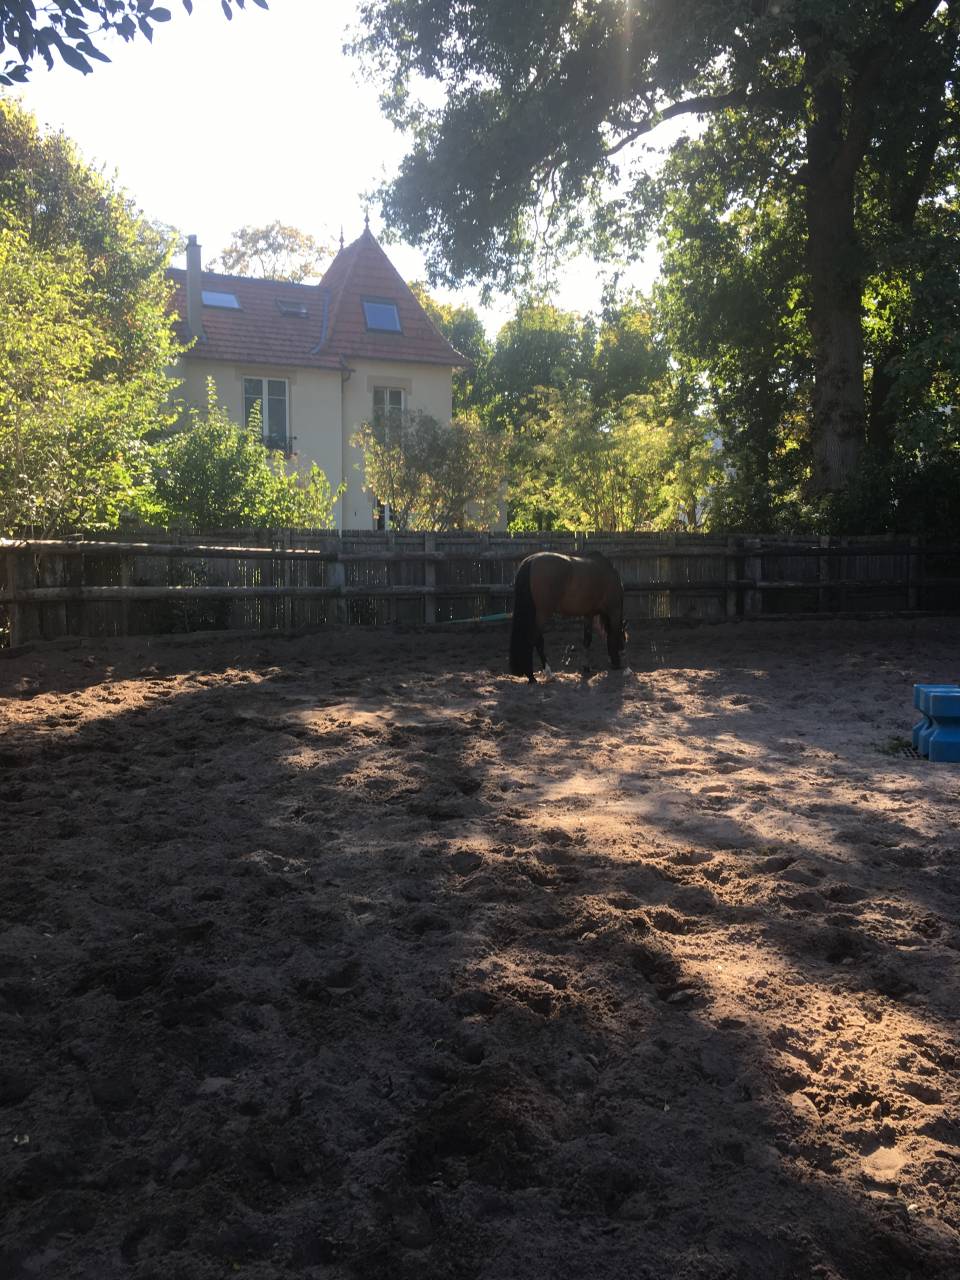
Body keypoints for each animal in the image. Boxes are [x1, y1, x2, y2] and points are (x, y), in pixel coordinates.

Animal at [509, 550, 627, 682]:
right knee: (535, 639)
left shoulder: (589, 614)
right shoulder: (614, 611)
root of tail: (532, 560)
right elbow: (612, 635)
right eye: (623, 637)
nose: (622, 652)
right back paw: (539, 675)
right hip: (542, 614)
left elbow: (587, 640)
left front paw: (586, 667)